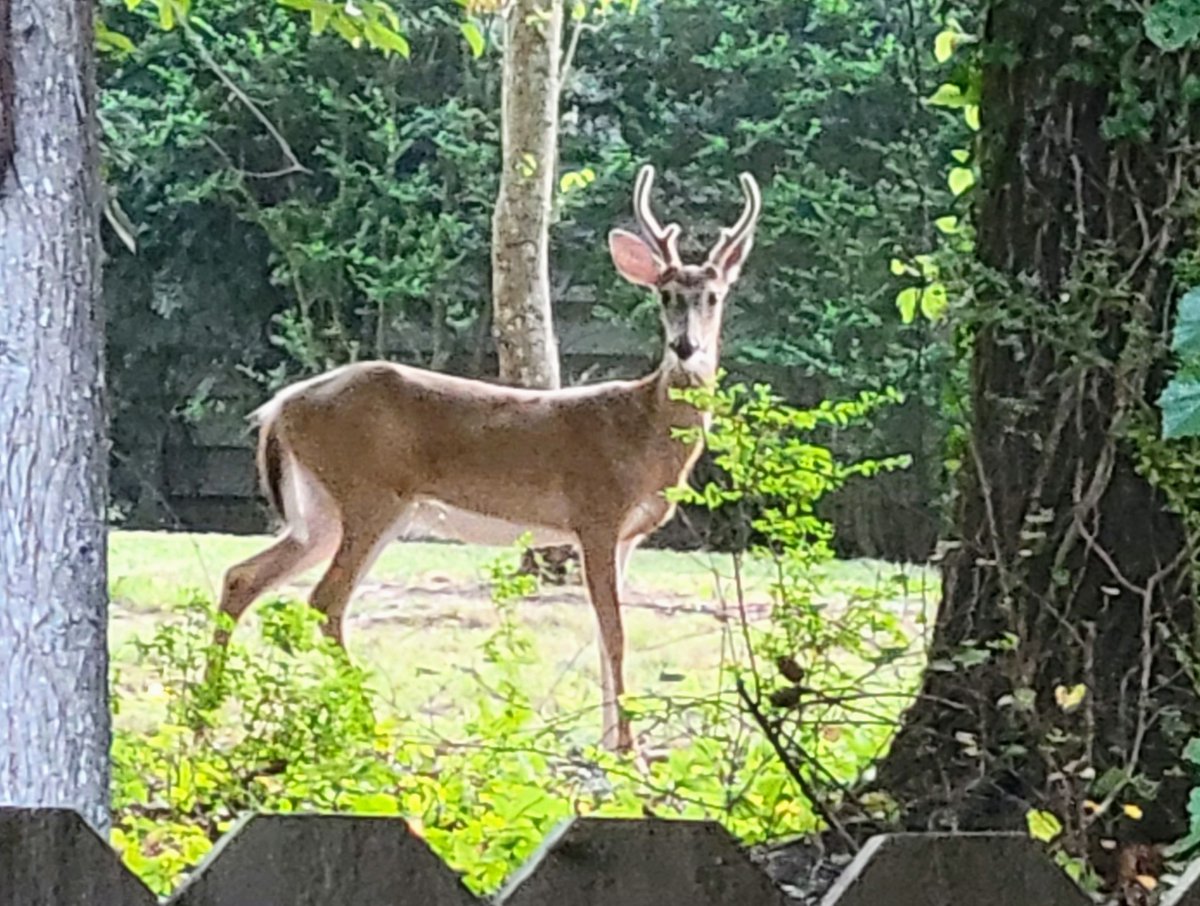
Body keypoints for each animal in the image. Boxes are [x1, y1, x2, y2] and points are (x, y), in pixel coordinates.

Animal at [213, 164, 762, 751]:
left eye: (712, 296)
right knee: (325, 600)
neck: (644, 432)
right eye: (665, 295)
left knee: (243, 577)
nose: (685, 348)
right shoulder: (595, 515)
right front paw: (628, 749)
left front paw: (610, 741)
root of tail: (279, 407)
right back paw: (368, 726)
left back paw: (203, 715)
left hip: (320, 511)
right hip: (369, 496)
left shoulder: (628, 535)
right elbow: (615, 630)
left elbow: (602, 631)